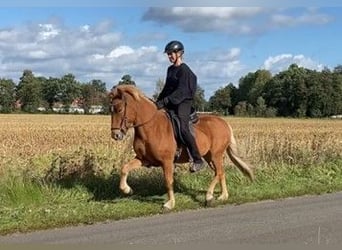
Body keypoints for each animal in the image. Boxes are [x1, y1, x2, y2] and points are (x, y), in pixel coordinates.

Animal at [109, 84, 254, 211]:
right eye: (111, 110)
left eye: (120, 109)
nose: (116, 135)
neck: (151, 127)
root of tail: (224, 122)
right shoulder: (144, 159)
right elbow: (124, 168)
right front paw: (127, 189)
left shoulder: (167, 162)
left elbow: (168, 181)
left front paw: (170, 203)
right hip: (209, 156)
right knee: (220, 173)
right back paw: (223, 196)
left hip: (216, 155)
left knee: (218, 173)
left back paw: (209, 196)